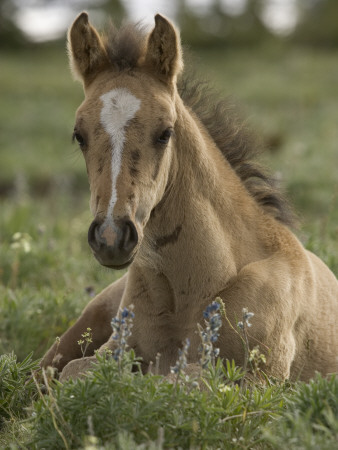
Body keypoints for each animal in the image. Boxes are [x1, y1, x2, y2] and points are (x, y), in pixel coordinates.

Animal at [41, 12, 336, 382]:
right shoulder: (114, 350)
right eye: (78, 135)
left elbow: (182, 380)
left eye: (165, 132)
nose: (111, 237)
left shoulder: (260, 377)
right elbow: (75, 372)